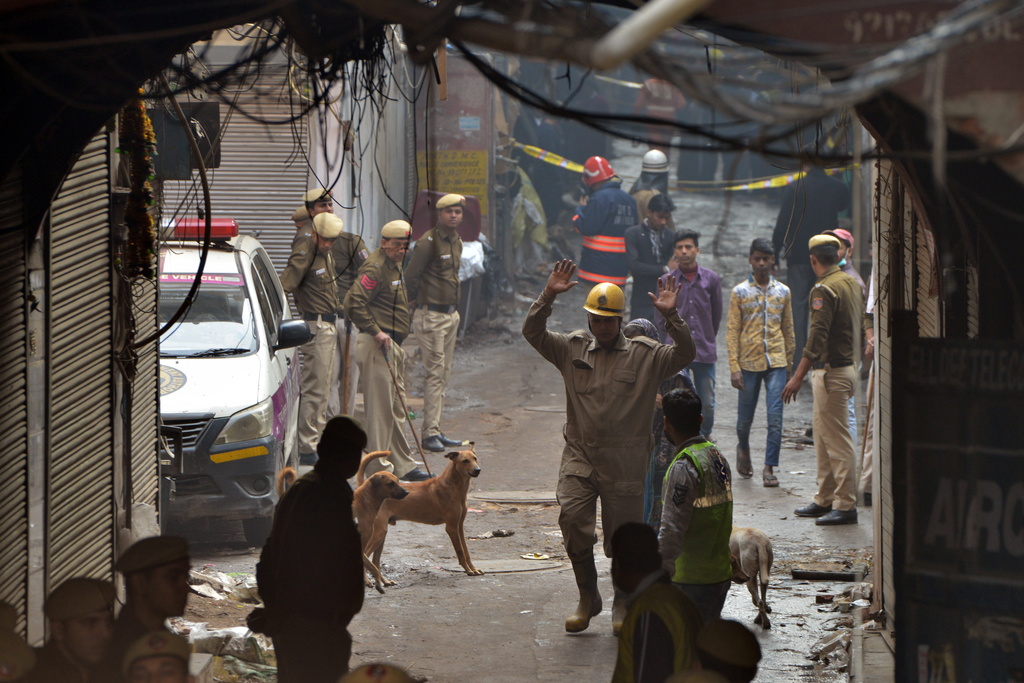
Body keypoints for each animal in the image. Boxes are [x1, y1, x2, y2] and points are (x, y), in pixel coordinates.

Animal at [354, 450, 409, 589]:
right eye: (390, 483)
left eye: (398, 481)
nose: (407, 492)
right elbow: (372, 566)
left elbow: (374, 566)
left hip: (380, 537)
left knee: (376, 561)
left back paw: (383, 581)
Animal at [364, 446, 483, 581]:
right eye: (465, 461)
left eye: (475, 458)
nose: (478, 470)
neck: (453, 487)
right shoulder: (451, 527)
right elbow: (460, 552)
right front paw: (468, 570)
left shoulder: (459, 526)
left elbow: (466, 551)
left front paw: (473, 568)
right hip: (378, 533)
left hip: (381, 534)